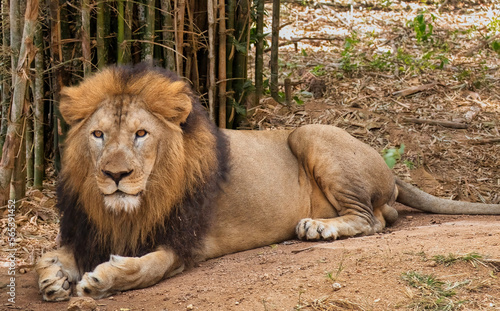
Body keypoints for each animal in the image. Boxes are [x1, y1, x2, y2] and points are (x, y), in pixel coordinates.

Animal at [36, 65, 500, 302]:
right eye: (98, 135)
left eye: (141, 134)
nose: (115, 176)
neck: (126, 209)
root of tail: (389, 169)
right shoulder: (87, 231)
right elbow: (49, 255)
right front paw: (51, 279)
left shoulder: (184, 244)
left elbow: (146, 268)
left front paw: (102, 279)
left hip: (309, 133)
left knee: (373, 220)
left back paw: (318, 227)